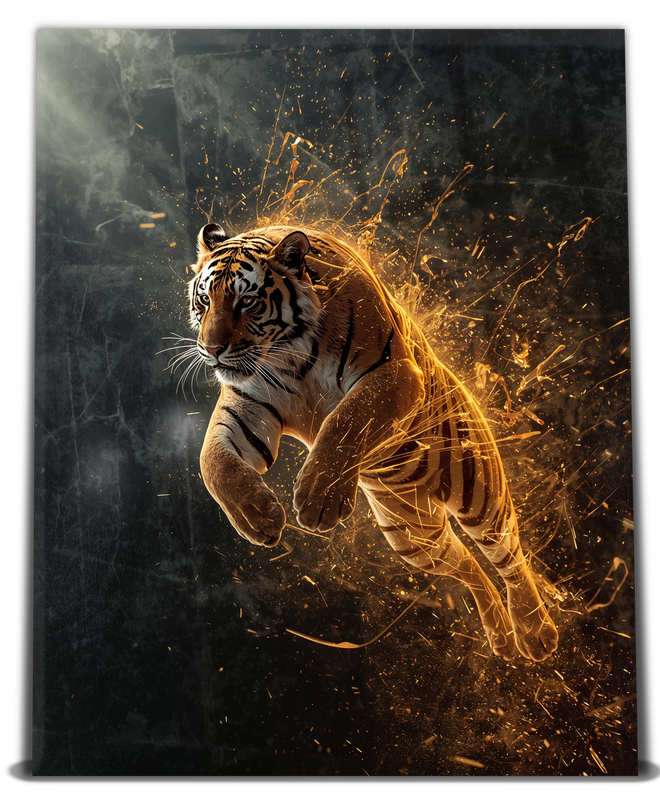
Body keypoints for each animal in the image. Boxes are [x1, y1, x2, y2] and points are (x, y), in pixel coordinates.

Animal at [185, 221, 559, 662]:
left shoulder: (394, 374)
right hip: (413, 534)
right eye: (204, 300)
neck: (289, 355)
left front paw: (318, 502)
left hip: (479, 493)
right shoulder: (248, 405)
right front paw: (259, 519)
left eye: (247, 302)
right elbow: (213, 462)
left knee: (507, 556)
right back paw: (499, 633)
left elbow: (346, 420)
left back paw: (535, 633)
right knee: (467, 564)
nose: (211, 349)